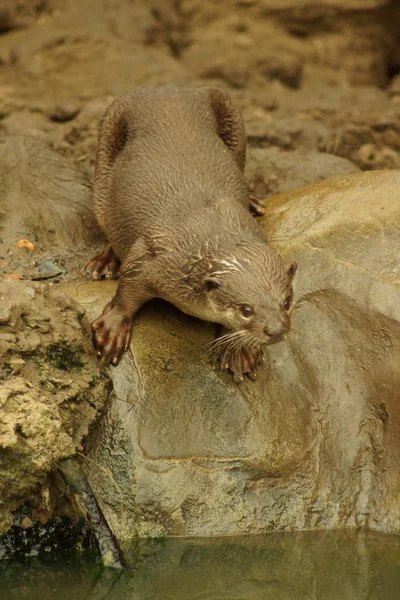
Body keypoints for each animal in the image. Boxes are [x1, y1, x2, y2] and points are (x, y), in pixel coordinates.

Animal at [85, 86, 296, 382]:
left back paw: (253, 201)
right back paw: (104, 263)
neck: (208, 229)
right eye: (246, 310)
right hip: (107, 140)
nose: (275, 330)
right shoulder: (153, 254)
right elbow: (128, 288)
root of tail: (166, 89)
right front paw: (113, 327)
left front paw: (240, 350)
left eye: (287, 302)